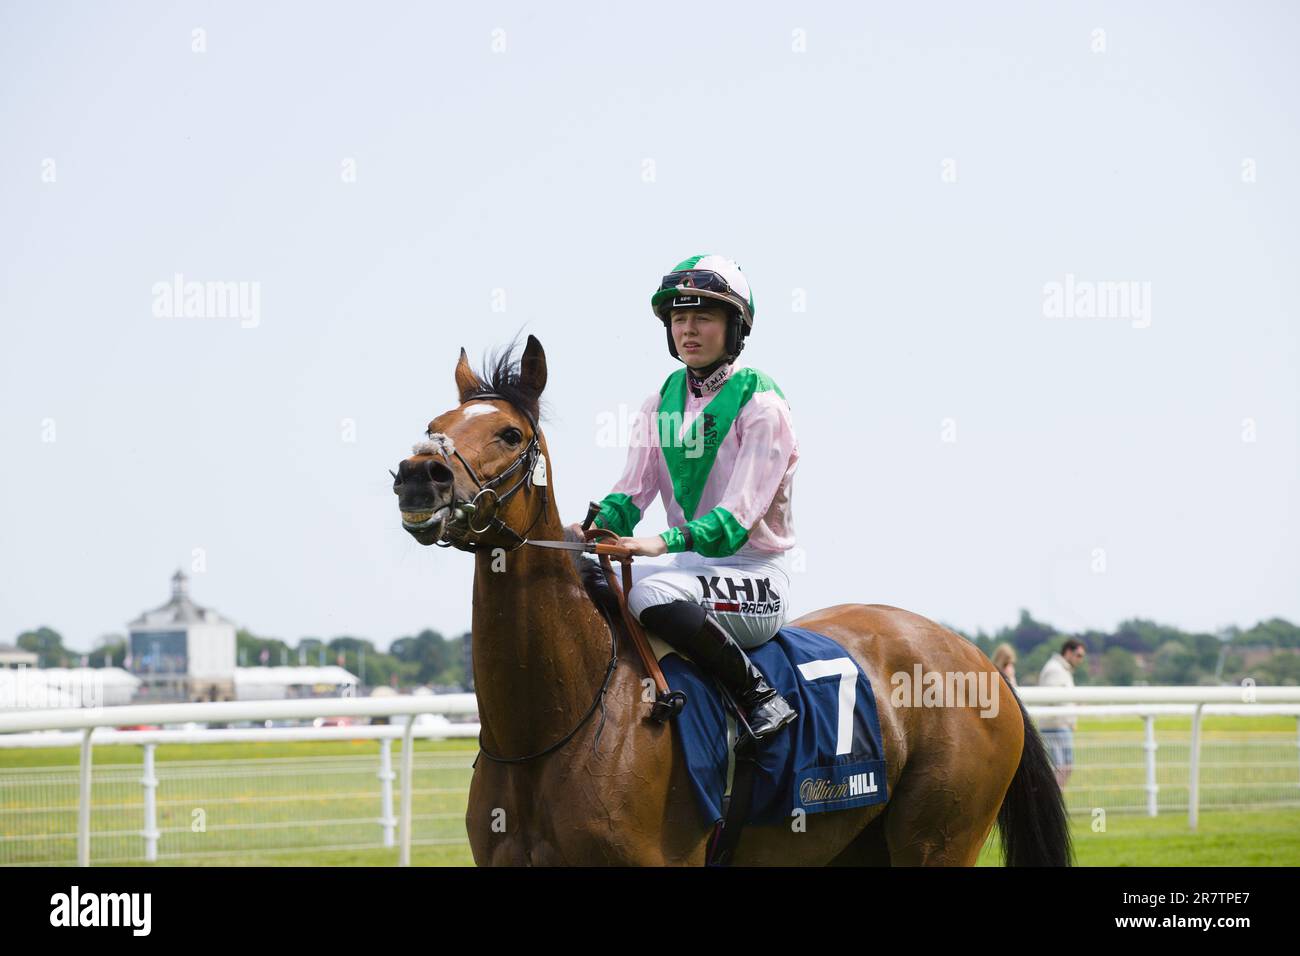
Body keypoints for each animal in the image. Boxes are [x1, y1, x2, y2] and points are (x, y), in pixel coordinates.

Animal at [390, 335, 1071, 868]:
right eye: (435, 427)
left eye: (510, 433)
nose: (419, 476)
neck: (557, 725)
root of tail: (976, 658)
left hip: (939, 839)